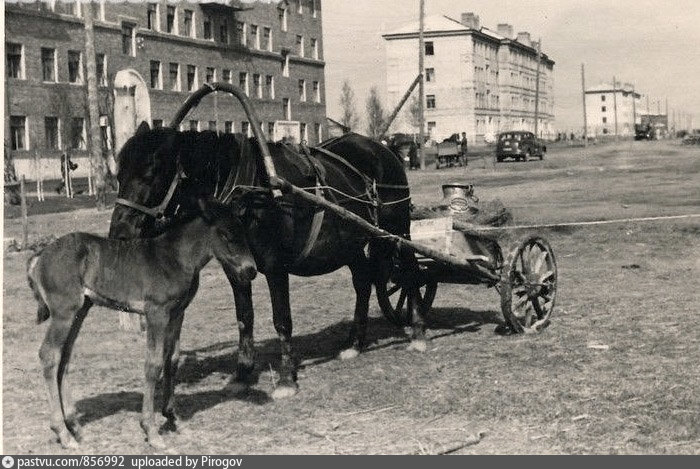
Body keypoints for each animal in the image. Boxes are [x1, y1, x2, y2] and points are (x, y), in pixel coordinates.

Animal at [28, 199, 258, 448]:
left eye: (244, 232)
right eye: (225, 234)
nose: (251, 270)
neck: (175, 257)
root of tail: (40, 255)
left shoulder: (177, 313)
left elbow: (172, 359)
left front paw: (173, 418)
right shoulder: (156, 312)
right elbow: (153, 364)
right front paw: (151, 431)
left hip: (80, 311)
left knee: (64, 358)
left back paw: (75, 426)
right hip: (64, 313)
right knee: (48, 355)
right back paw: (63, 433)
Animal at [111, 124, 424, 398]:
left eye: (151, 172)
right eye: (118, 174)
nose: (119, 232)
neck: (247, 192)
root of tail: (382, 149)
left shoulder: (276, 266)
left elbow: (281, 320)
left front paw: (286, 379)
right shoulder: (235, 269)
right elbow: (244, 318)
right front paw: (242, 373)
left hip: (397, 228)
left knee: (410, 272)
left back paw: (418, 333)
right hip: (350, 244)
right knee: (363, 281)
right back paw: (354, 343)